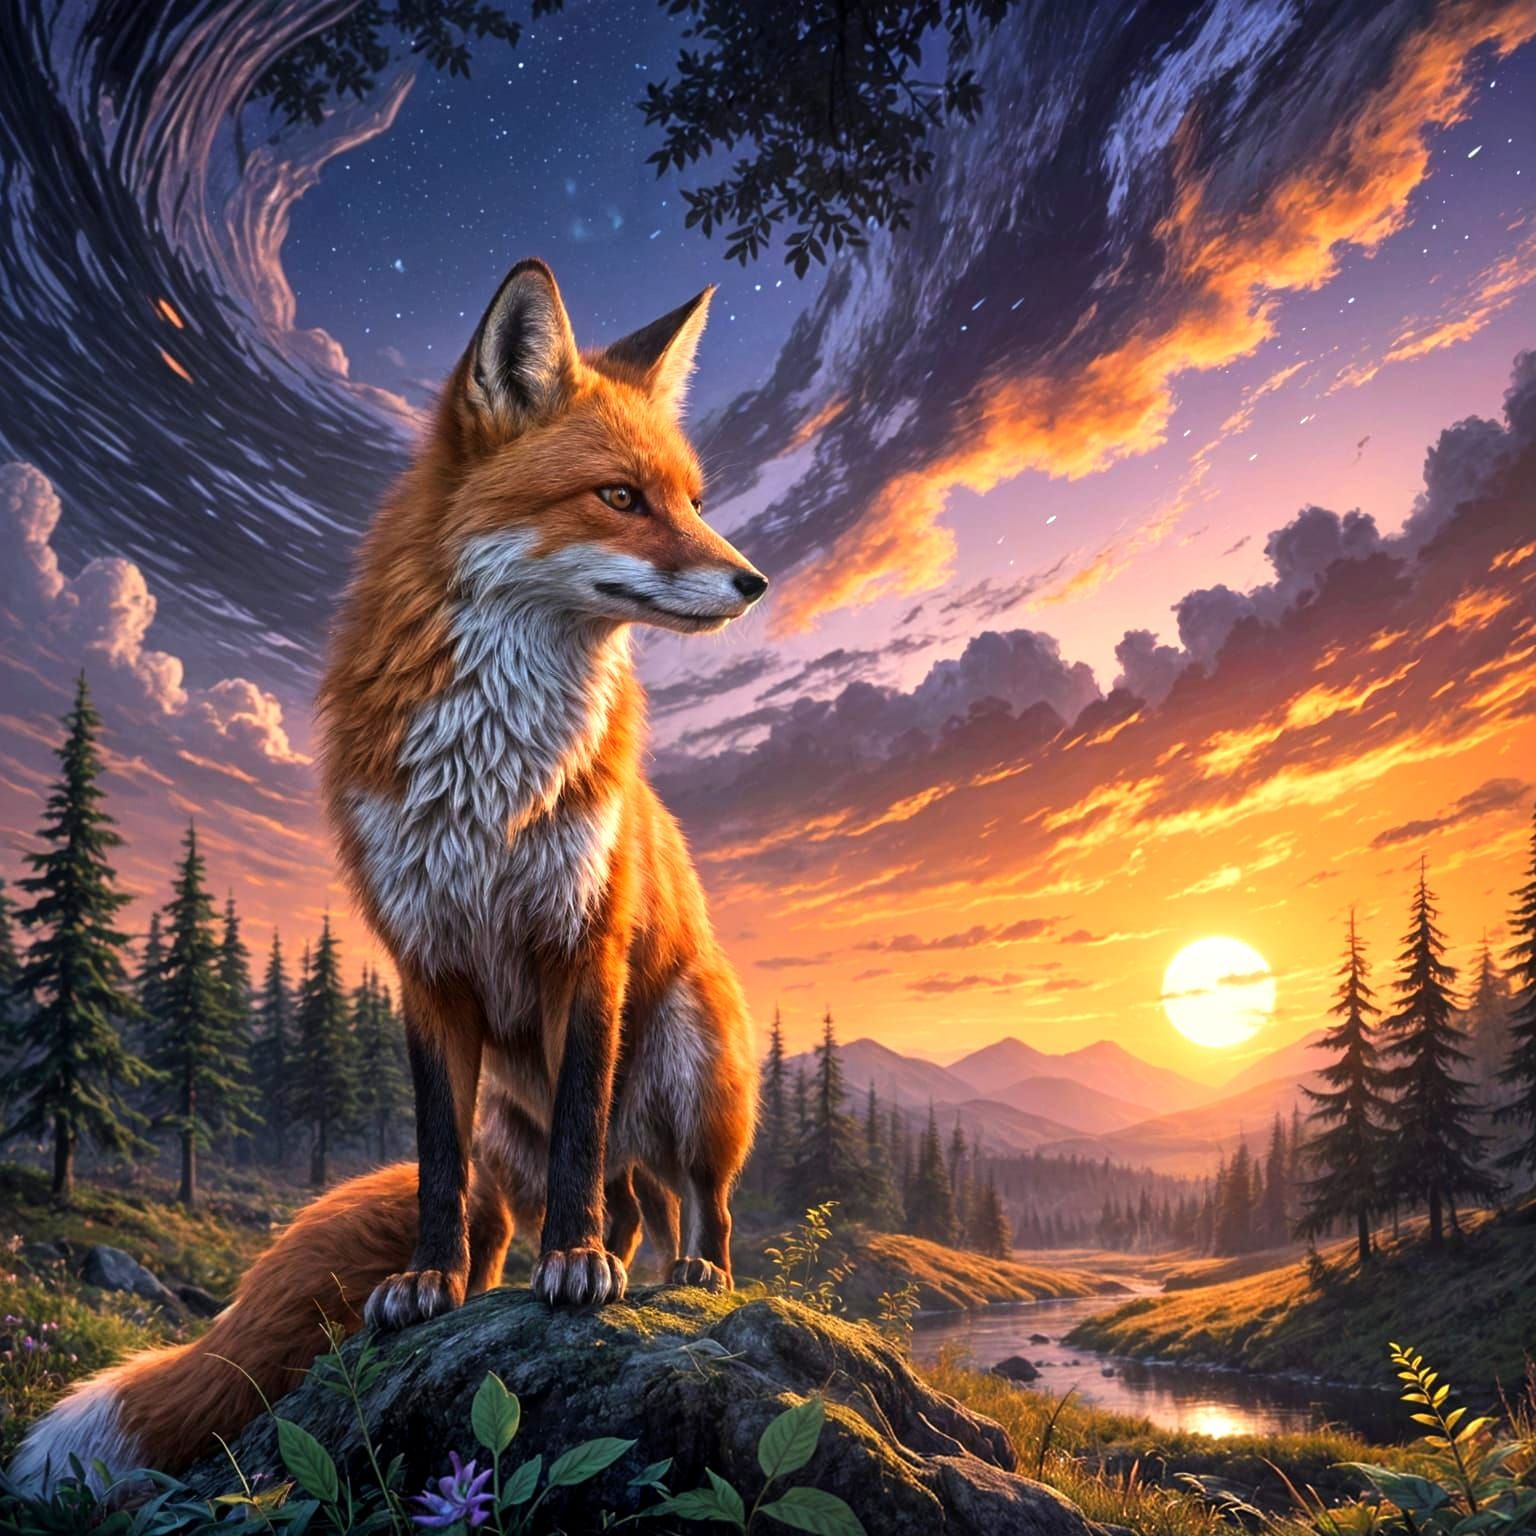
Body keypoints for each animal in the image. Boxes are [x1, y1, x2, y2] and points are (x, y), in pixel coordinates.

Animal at [10, 259, 763, 1493]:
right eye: (619, 497)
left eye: (693, 499)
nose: (755, 580)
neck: (489, 772)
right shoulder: (426, 963)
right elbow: (437, 1160)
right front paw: (433, 1285)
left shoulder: (583, 947)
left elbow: (583, 1138)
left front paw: (571, 1264)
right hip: (526, 1116)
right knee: (615, 1196)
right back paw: (572, 1265)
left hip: (696, 1077)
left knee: (694, 1201)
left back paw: (686, 1277)